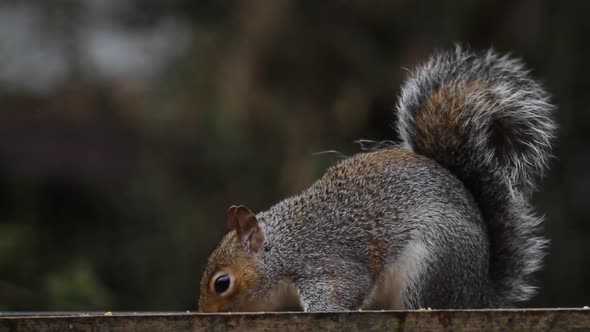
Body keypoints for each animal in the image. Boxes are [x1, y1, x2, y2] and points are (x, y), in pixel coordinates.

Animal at [201, 46, 556, 312]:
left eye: (222, 283)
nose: (204, 314)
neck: (281, 248)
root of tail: (477, 296)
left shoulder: (325, 262)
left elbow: (342, 291)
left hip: (429, 266)